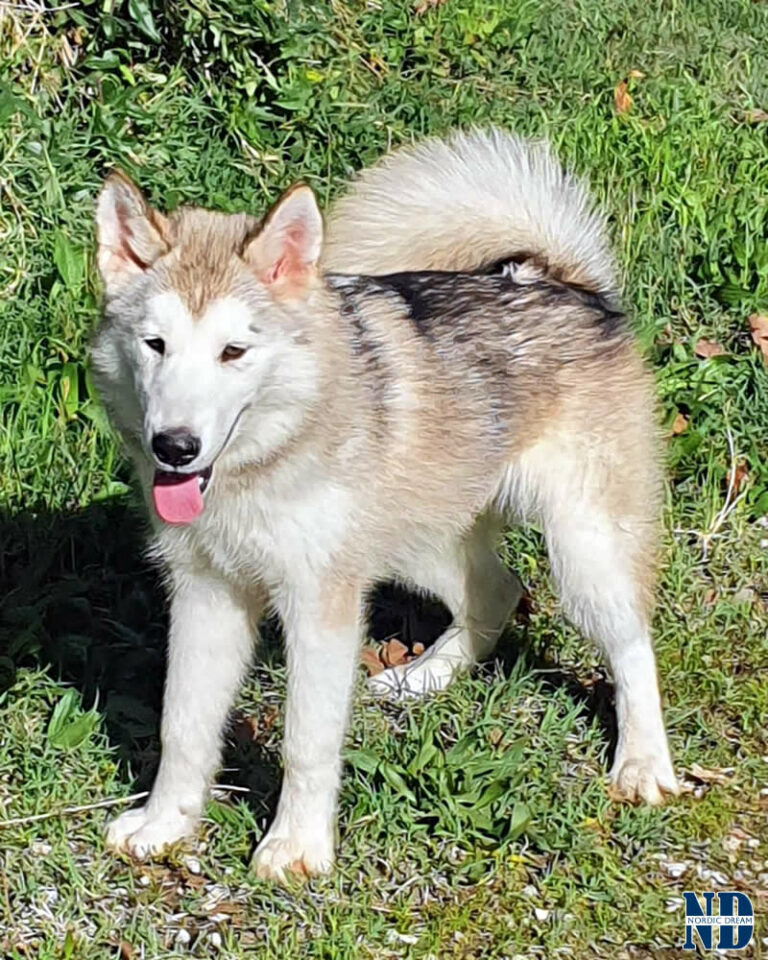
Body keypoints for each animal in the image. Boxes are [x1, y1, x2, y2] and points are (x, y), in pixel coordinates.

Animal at [91, 131, 680, 880]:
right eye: (155, 344)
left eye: (234, 351)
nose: (175, 446)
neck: (261, 466)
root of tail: (565, 283)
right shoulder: (206, 593)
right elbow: (183, 726)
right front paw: (166, 824)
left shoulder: (321, 605)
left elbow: (305, 742)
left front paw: (297, 847)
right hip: (414, 543)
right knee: (497, 589)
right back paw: (425, 677)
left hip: (584, 556)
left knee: (632, 648)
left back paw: (644, 765)